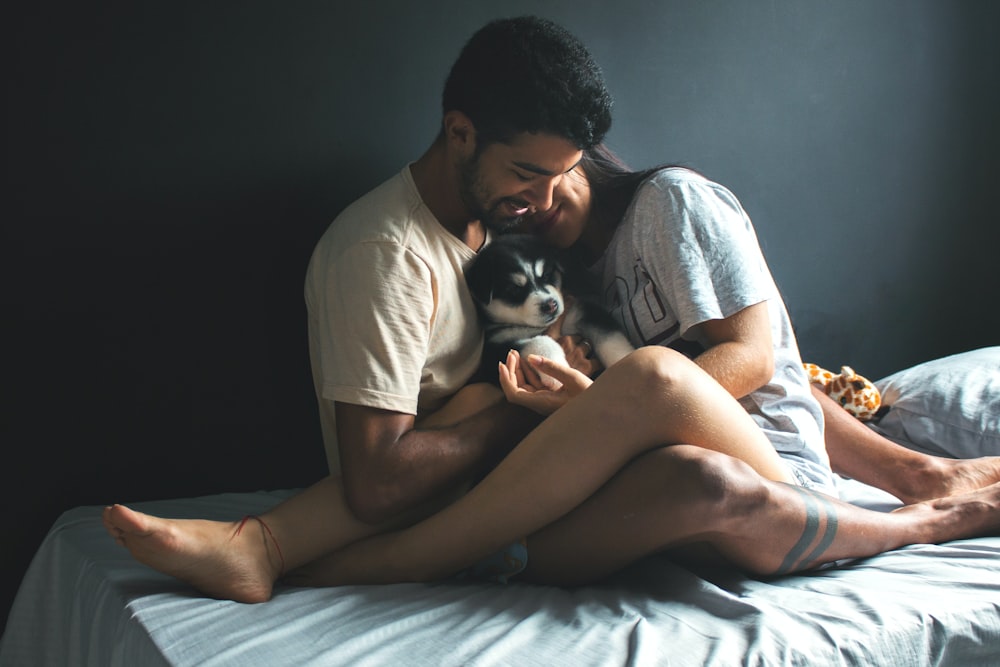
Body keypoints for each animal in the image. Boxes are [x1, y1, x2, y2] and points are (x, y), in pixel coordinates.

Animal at [462, 234, 632, 386]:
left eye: (547, 275)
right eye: (514, 290)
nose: (551, 305)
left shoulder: (583, 312)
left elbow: (609, 338)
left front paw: (625, 359)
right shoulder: (495, 351)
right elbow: (540, 341)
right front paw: (557, 373)